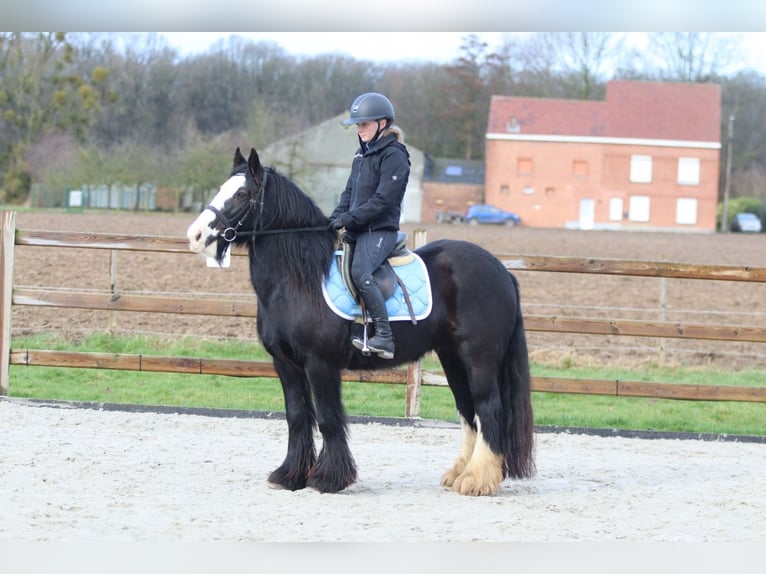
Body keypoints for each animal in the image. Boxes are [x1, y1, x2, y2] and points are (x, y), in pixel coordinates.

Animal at [186, 147, 535, 496]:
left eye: (242, 194)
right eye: (222, 188)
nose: (196, 235)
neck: (301, 279)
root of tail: (500, 269)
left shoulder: (320, 364)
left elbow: (328, 419)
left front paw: (328, 478)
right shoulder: (286, 364)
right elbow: (297, 416)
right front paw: (290, 475)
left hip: (479, 359)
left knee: (488, 408)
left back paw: (477, 480)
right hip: (453, 360)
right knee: (467, 411)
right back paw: (461, 474)